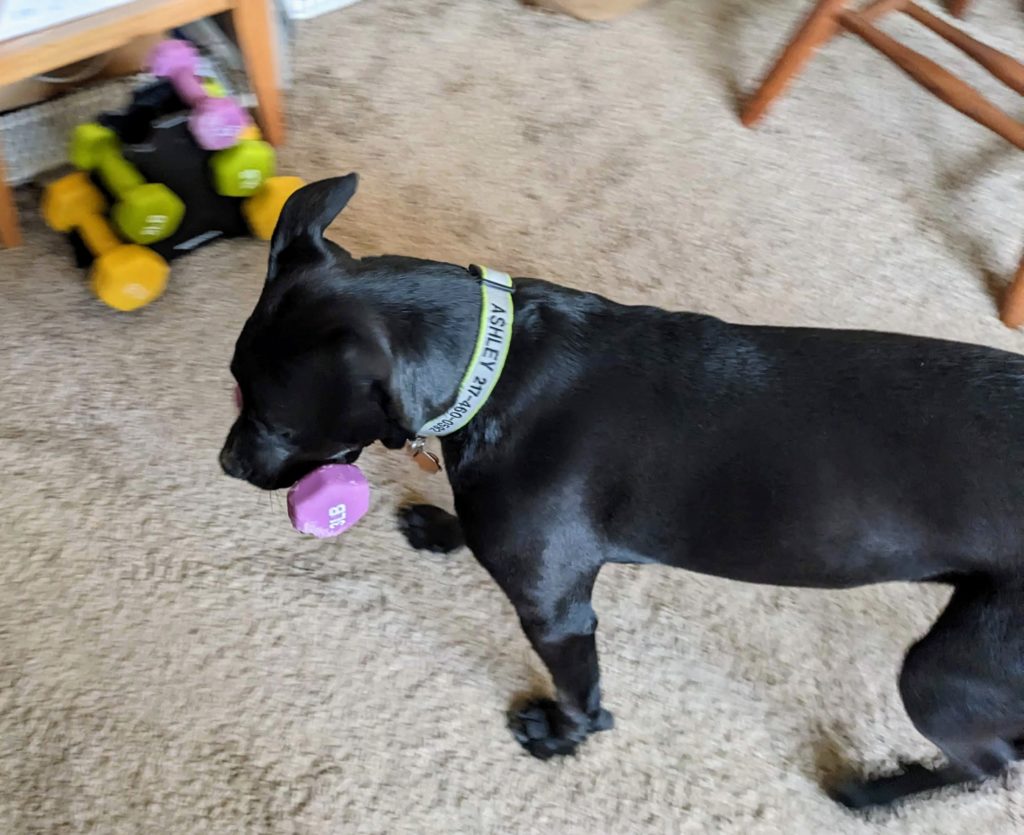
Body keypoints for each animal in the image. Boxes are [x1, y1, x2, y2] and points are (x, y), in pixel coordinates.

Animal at [222, 176, 1024, 811]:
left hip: (946, 673)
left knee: (990, 763)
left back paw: (874, 792)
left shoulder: (557, 614)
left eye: (276, 421)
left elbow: (581, 689)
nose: (227, 463)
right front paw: (444, 526)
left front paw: (563, 736)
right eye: (233, 381)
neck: (497, 366)